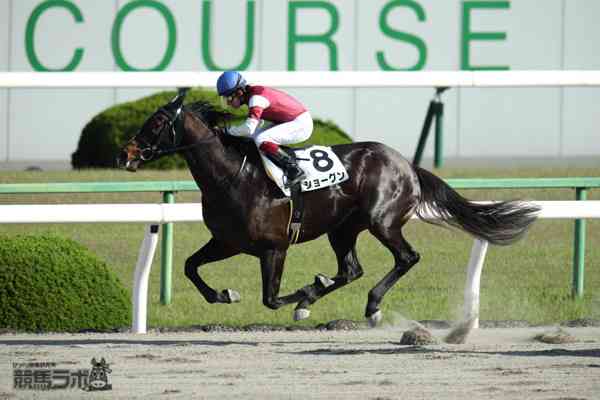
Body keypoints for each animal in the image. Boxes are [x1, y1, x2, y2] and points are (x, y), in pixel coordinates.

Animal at [118, 89, 540, 326]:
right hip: (342, 229)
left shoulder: (274, 247)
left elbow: (272, 298)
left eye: (156, 121)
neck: (231, 176)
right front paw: (225, 295)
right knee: (351, 269)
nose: (126, 154)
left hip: (381, 220)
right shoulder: (228, 241)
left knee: (406, 257)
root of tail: (407, 164)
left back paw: (368, 304)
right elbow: (190, 267)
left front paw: (303, 294)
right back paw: (329, 294)